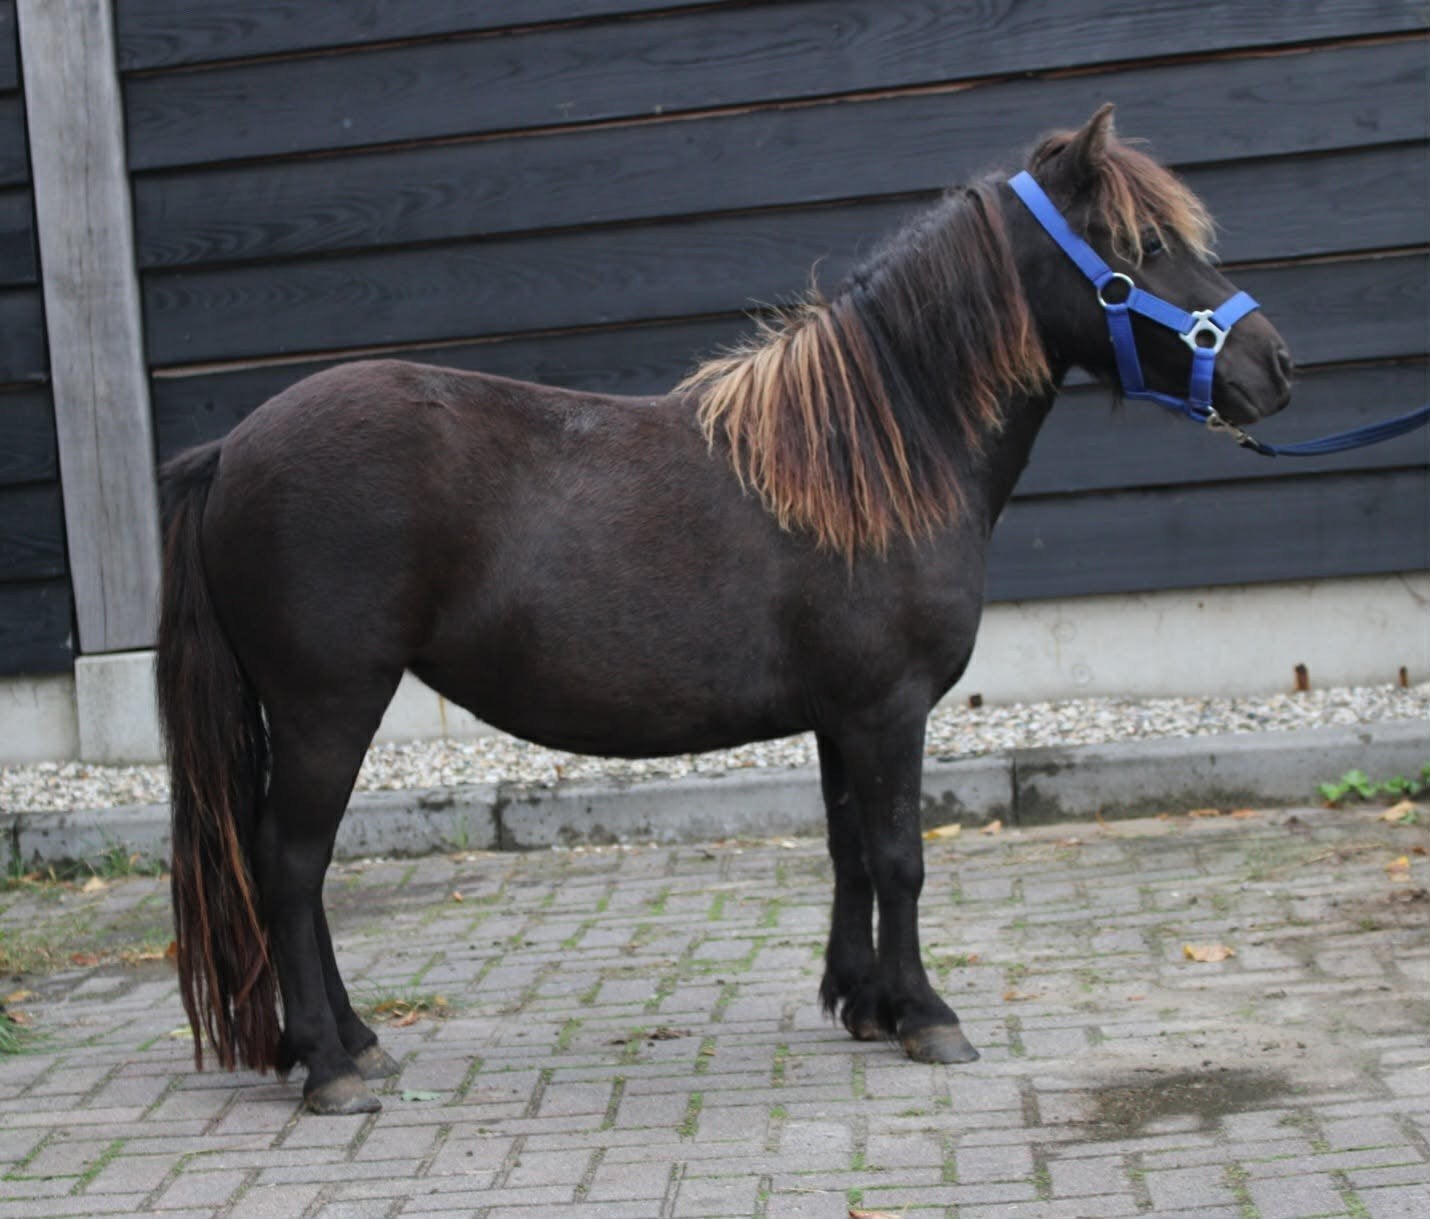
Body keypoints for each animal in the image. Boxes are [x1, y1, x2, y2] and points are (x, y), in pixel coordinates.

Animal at [156, 105, 1293, 1114]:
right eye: (1140, 248)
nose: (1273, 368)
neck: (877, 454)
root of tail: (231, 450)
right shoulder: (888, 709)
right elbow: (901, 859)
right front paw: (928, 1016)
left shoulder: (843, 717)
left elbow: (848, 849)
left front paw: (865, 1005)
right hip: (328, 705)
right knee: (289, 865)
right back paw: (330, 1066)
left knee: (294, 872)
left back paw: (356, 1042)